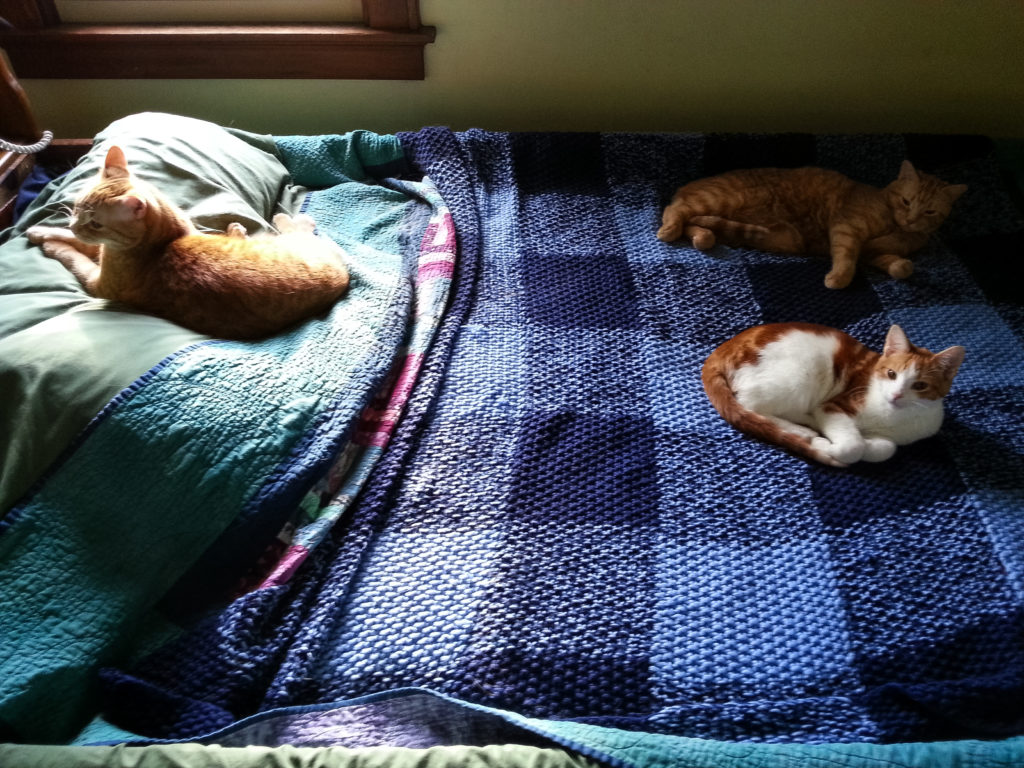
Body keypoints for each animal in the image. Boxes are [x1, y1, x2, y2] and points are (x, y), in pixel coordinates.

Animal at [25, 145, 350, 337]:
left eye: (95, 223)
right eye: (77, 207)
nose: (75, 223)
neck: (164, 241)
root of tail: (342, 276)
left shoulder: (97, 281)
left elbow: (73, 255)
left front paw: (49, 241)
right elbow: (76, 243)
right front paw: (44, 230)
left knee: (301, 227)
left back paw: (285, 219)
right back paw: (240, 229)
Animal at [659, 160, 962, 290]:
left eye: (929, 211)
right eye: (906, 201)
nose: (911, 219)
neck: (895, 228)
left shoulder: (873, 253)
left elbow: (896, 264)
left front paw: (901, 266)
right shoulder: (846, 227)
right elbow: (846, 258)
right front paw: (838, 279)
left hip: (783, 238)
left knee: (695, 224)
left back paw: (703, 235)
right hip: (722, 199)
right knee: (675, 210)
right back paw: (669, 230)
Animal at [704, 321, 966, 466]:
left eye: (920, 386)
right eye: (891, 374)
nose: (896, 395)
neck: (894, 418)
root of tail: (723, 348)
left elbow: (887, 448)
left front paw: (867, 445)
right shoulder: (835, 405)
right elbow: (852, 446)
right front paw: (829, 447)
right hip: (801, 373)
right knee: (749, 405)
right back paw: (804, 432)